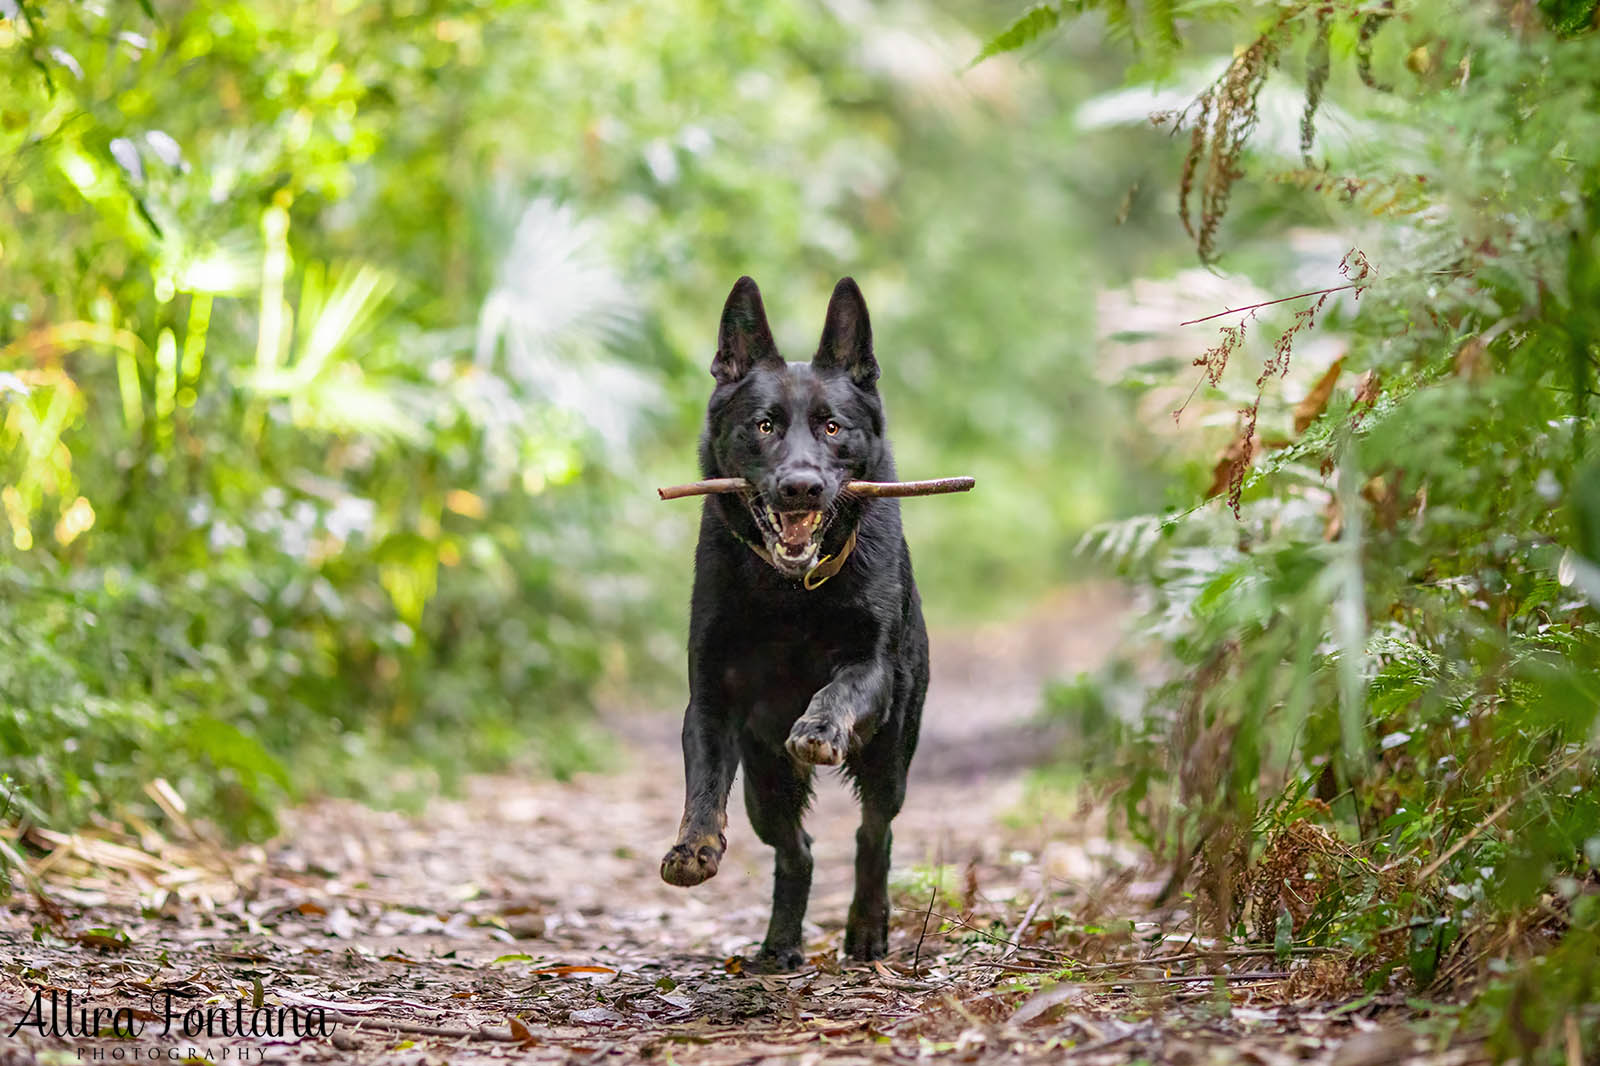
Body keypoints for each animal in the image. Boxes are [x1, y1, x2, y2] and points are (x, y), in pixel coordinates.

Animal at [656, 272, 934, 960]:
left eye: (832, 428)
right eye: (763, 426)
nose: (802, 486)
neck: (790, 593)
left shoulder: (871, 666)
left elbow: (837, 690)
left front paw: (818, 725)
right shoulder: (713, 698)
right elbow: (703, 779)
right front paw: (693, 845)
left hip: (890, 757)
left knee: (873, 833)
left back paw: (867, 927)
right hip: (765, 785)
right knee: (797, 850)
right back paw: (780, 946)